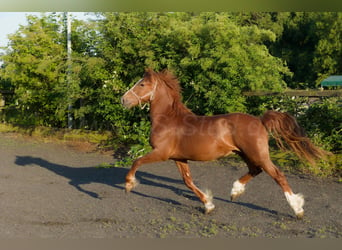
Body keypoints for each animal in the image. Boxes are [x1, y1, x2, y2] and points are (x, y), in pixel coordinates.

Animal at [120, 68, 326, 219]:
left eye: (142, 84)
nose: (124, 100)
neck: (168, 120)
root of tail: (260, 120)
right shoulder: (179, 158)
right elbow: (188, 181)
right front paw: (208, 204)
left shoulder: (161, 153)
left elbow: (136, 162)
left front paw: (129, 185)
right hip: (244, 153)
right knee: (255, 170)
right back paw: (235, 191)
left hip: (257, 153)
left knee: (278, 175)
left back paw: (297, 209)